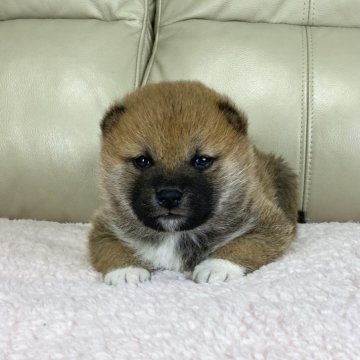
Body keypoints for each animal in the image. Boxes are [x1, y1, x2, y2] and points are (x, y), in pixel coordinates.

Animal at [88, 81, 296, 284]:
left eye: (201, 160)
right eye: (142, 161)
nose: (169, 197)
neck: (174, 235)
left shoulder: (270, 223)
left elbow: (245, 244)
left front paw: (216, 266)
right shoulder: (103, 227)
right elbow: (111, 249)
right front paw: (125, 270)